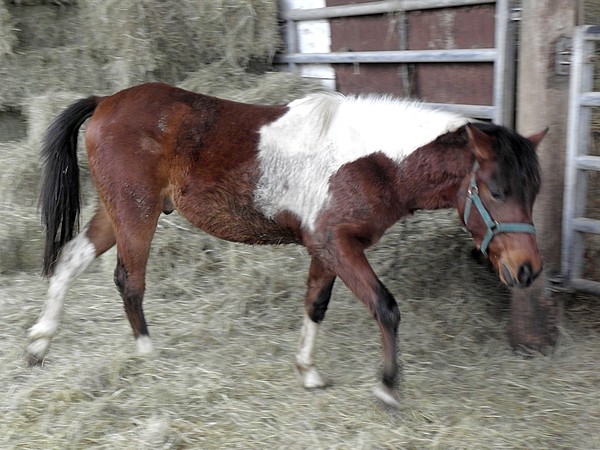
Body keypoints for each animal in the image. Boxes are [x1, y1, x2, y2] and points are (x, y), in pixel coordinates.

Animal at [25, 81, 548, 408]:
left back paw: (40, 341)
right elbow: (385, 307)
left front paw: (307, 370)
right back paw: (146, 351)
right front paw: (387, 387)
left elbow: (315, 304)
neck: (375, 160)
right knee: (128, 280)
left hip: (118, 212)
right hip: (137, 214)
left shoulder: (325, 248)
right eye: (496, 190)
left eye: (533, 192)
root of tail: (107, 101)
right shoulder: (337, 243)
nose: (528, 270)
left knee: (71, 260)